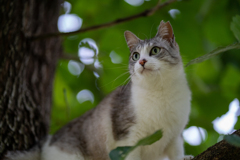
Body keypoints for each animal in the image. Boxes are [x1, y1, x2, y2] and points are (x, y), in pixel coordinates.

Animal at [5, 20, 193, 159]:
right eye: (136, 55)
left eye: (154, 50)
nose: (142, 62)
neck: (160, 91)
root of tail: (48, 140)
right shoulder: (126, 137)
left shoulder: (175, 137)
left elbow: (177, 153)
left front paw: (184, 157)